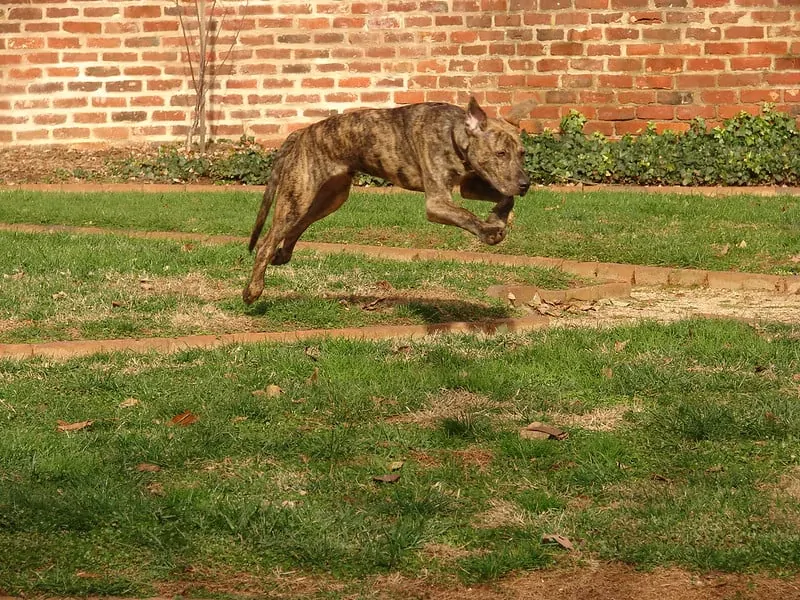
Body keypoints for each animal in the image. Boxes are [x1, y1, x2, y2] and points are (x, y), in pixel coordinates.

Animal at [241, 99, 536, 304]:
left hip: (329, 198)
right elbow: (466, 215)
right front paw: (489, 231)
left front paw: (497, 218)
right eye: (500, 153)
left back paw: (282, 255)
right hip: (298, 197)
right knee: (267, 242)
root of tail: (301, 132)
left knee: (296, 228)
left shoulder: (470, 186)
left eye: (522, 153)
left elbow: (506, 197)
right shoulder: (437, 203)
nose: (526, 184)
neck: (454, 133)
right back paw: (253, 291)